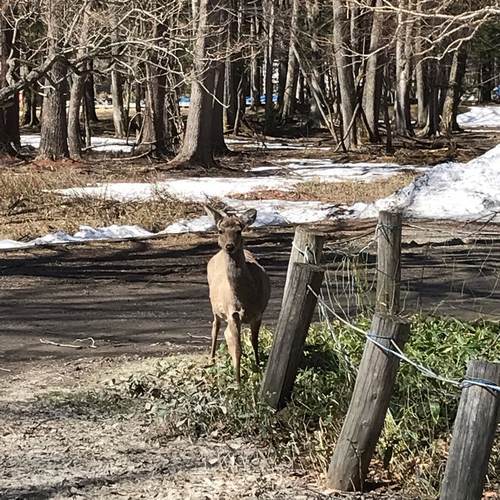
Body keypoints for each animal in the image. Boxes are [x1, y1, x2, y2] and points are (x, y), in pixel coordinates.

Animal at [205, 205, 272, 384]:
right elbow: (237, 349)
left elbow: (254, 341)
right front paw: (238, 382)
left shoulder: (258, 313)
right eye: (220, 230)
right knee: (215, 327)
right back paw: (211, 360)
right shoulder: (232, 313)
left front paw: (258, 368)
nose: (229, 246)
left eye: (239, 230)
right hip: (215, 307)